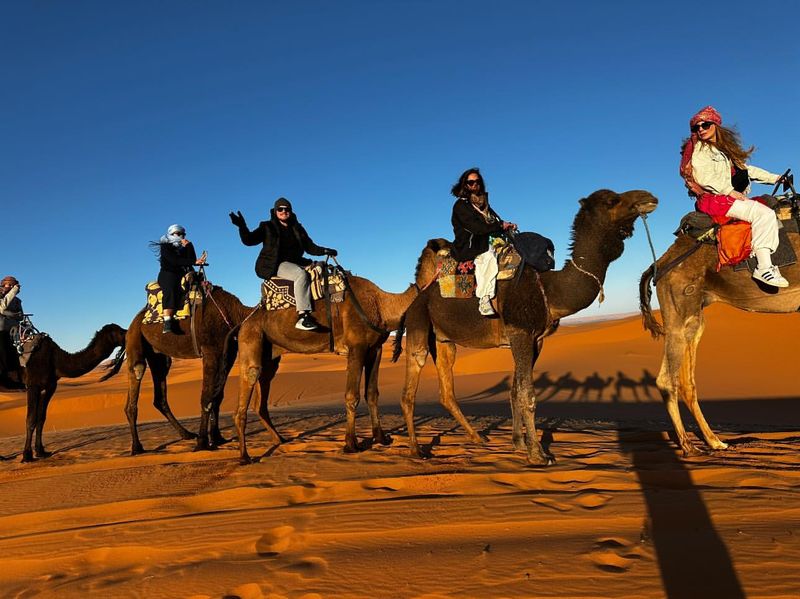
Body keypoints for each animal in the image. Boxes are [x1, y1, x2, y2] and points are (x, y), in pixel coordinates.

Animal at [18, 326, 126, 462]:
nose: (128, 332)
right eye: (120, 331)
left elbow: (41, 419)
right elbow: (31, 419)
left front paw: (41, 452)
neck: (56, 359)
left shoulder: (49, 387)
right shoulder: (33, 385)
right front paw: (27, 456)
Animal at [125, 286, 256, 454]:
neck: (235, 313)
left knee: (160, 394)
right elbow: (207, 397)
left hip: (158, 355)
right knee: (138, 369)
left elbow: (217, 397)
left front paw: (217, 438)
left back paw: (186, 434)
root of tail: (132, 323)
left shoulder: (228, 353)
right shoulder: (211, 350)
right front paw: (202, 443)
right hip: (135, 338)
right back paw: (137, 447)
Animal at [231, 272, 418, 464]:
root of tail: (244, 322)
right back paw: (244, 456)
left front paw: (381, 438)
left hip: (270, 354)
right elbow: (352, 396)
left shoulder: (375, 349)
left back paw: (280, 439)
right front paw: (351, 445)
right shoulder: (357, 346)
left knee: (262, 393)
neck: (382, 304)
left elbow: (372, 394)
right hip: (251, 337)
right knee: (251, 375)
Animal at [392, 188, 656, 464]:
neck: (549, 290)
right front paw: (538, 454)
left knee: (446, 391)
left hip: (444, 342)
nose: (648, 197)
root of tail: (416, 298)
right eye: (612, 200)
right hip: (419, 326)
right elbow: (527, 395)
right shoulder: (520, 333)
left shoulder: (535, 339)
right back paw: (416, 449)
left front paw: (519, 444)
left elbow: (515, 390)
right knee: (409, 390)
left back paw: (477, 438)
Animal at [640, 218, 800, 458]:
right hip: (679, 312)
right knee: (666, 380)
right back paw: (689, 447)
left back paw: (715, 442)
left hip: (693, 318)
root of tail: (658, 264)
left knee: (686, 382)